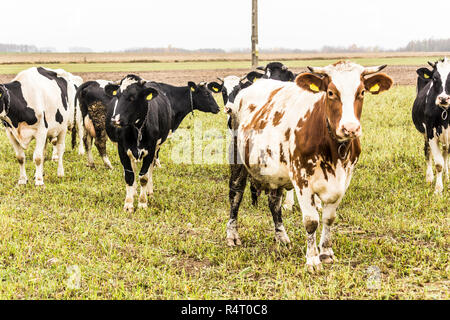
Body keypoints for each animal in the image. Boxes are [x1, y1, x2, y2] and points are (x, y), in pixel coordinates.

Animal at [103, 75, 220, 212]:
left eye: (132, 97)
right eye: (117, 96)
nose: (115, 120)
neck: (136, 129)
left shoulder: (152, 148)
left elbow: (144, 176)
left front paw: (142, 203)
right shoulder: (122, 149)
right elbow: (129, 176)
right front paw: (128, 204)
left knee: (149, 169)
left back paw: (148, 192)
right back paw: (134, 191)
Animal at [227, 61, 392, 272]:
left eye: (362, 92)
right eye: (330, 92)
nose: (350, 128)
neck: (333, 149)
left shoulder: (344, 179)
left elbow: (329, 218)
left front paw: (326, 253)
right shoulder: (301, 178)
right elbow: (311, 221)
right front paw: (313, 259)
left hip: (276, 171)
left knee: (274, 202)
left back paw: (282, 237)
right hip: (237, 158)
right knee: (236, 194)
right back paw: (232, 235)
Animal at [412, 57, 450, 192]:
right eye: (434, 78)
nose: (443, 99)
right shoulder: (431, 133)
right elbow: (438, 164)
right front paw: (438, 189)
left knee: (445, 154)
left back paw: (447, 177)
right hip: (425, 133)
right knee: (427, 151)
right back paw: (429, 178)